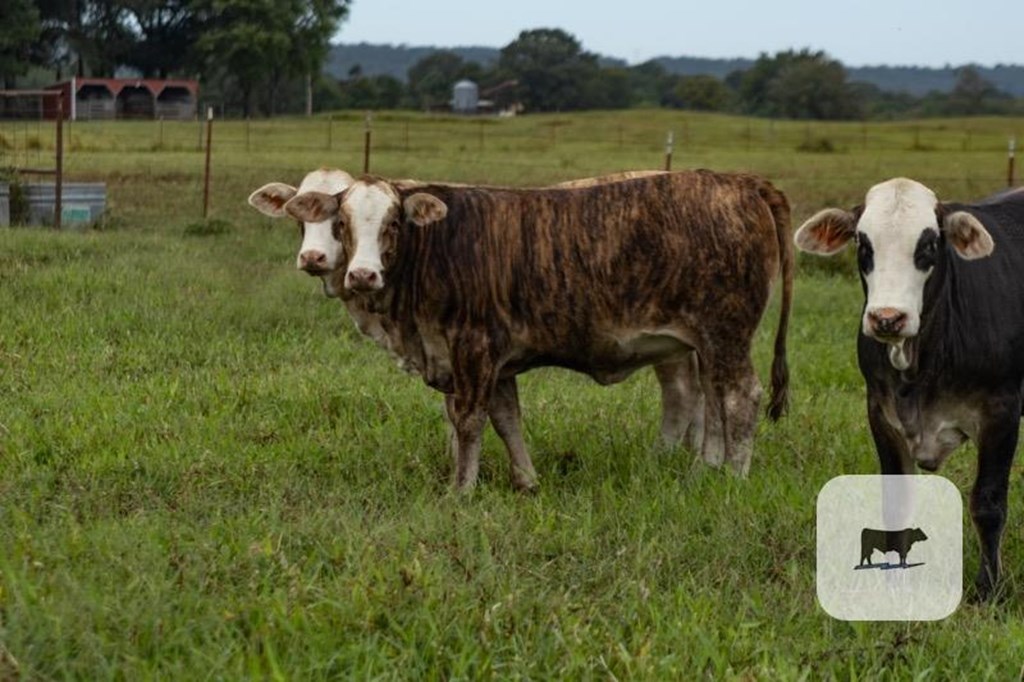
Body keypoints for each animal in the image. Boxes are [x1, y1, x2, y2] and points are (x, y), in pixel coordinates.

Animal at [270, 168, 790, 489]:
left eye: (393, 222)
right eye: (342, 222)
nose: (362, 275)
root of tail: (740, 182)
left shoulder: (473, 346)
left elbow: (469, 420)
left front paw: (461, 490)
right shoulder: (489, 359)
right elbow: (506, 419)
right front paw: (526, 481)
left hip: (725, 333)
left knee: (739, 397)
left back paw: (734, 477)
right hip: (708, 342)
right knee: (713, 398)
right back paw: (704, 470)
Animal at [798, 178, 1024, 598]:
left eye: (929, 244)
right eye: (863, 242)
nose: (888, 318)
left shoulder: (1002, 412)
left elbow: (988, 503)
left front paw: (988, 589)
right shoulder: (881, 414)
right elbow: (895, 503)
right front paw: (893, 581)